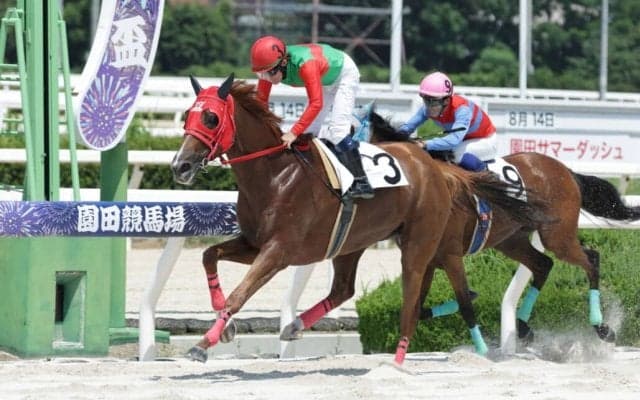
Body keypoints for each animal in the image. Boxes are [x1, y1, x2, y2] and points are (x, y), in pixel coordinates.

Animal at [170, 74, 545, 364]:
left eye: (211, 118)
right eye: (187, 114)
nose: (180, 166)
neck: (276, 174)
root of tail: (433, 164)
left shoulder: (278, 251)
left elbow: (240, 293)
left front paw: (203, 344)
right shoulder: (254, 243)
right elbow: (209, 256)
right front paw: (225, 326)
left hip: (418, 242)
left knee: (411, 296)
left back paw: (397, 359)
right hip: (352, 242)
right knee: (344, 288)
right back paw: (295, 326)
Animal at [369, 109, 640, 352]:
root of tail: (565, 170)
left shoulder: (450, 255)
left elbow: (464, 303)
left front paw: (481, 346)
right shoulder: (426, 259)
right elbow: (418, 307)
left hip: (556, 236)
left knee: (591, 259)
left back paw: (602, 328)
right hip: (511, 240)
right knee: (543, 264)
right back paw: (523, 327)